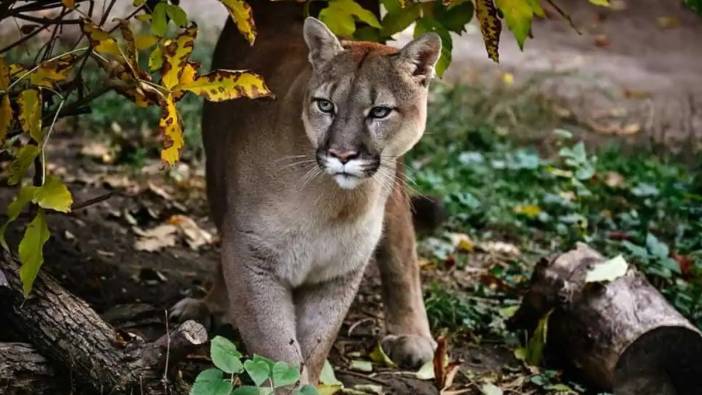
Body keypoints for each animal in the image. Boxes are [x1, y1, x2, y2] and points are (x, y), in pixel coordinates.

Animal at [172, 3, 440, 386]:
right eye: (325, 105)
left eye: (380, 111)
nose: (342, 154)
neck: (336, 204)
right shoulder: (252, 258)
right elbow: (277, 350)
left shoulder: (339, 273)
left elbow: (314, 346)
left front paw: (308, 384)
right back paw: (210, 305)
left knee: (401, 243)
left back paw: (412, 335)